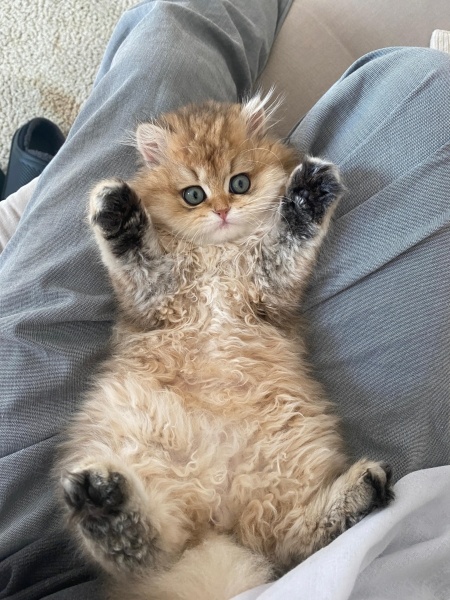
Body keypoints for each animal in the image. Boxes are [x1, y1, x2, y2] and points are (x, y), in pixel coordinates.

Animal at [57, 95, 394, 600]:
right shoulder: (153, 294)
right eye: (193, 195)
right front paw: (117, 209)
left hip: (285, 465)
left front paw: (309, 194)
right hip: (137, 448)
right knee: (148, 550)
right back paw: (104, 504)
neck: (215, 256)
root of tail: (219, 523)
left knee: (295, 542)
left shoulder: (269, 285)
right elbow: (134, 251)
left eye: (240, 184)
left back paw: (363, 492)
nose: (221, 212)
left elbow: (288, 233)